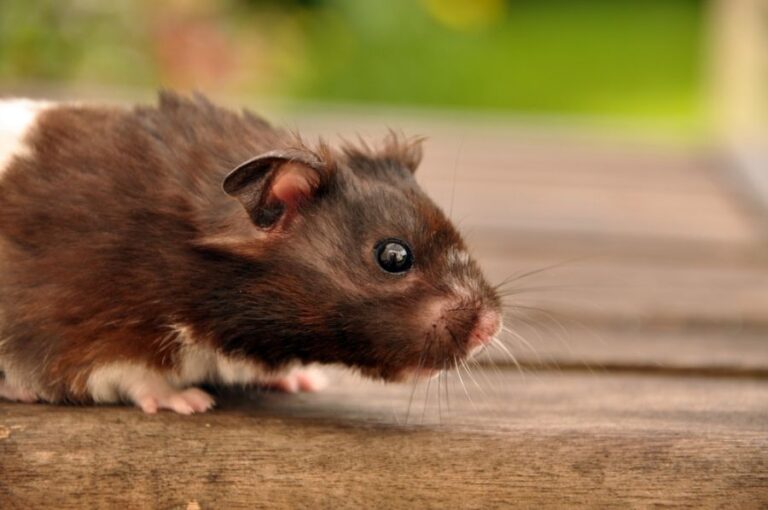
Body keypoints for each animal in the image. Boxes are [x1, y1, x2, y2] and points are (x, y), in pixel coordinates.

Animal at [0, 92, 502, 414]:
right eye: (394, 256)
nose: (491, 328)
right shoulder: (83, 331)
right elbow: (131, 373)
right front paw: (189, 402)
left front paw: (301, 381)